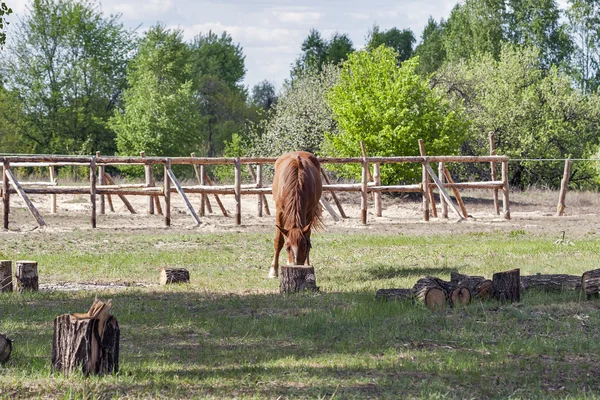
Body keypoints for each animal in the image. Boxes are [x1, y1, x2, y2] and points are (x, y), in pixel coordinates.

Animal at [268, 150, 322, 278]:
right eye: (287, 248)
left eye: (303, 246)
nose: (296, 265)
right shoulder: (279, 211)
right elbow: (278, 241)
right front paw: (273, 270)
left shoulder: (310, 212)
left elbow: (308, 237)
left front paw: (307, 264)